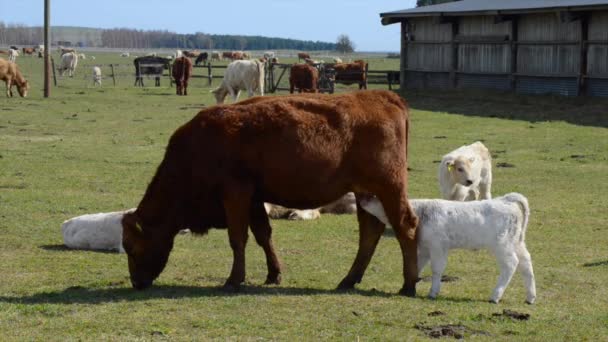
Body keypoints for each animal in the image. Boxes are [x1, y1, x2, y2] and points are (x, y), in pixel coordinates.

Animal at [121, 89, 420, 296]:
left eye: (131, 247)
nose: (136, 282)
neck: (197, 150)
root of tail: (385, 97)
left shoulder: (235, 193)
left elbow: (237, 238)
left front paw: (233, 279)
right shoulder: (253, 198)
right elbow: (263, 235)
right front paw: (273, 274)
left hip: (389, 188)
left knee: (405, 225)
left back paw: (408, 285)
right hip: (365, 193)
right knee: (370, 231)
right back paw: (348, 280)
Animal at [358, 192, 536, 304]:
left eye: (378, 197)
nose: (362, 198)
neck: (421, 214)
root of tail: (506, 199)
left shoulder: (438, 246)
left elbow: (437, 269)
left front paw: (433, 292)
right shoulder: (425, 247)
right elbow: (417, 265)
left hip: (502, 245)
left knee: (511, 264)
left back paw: (495, 296)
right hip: (517, 243)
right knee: (526, 264)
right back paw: (530, 297)